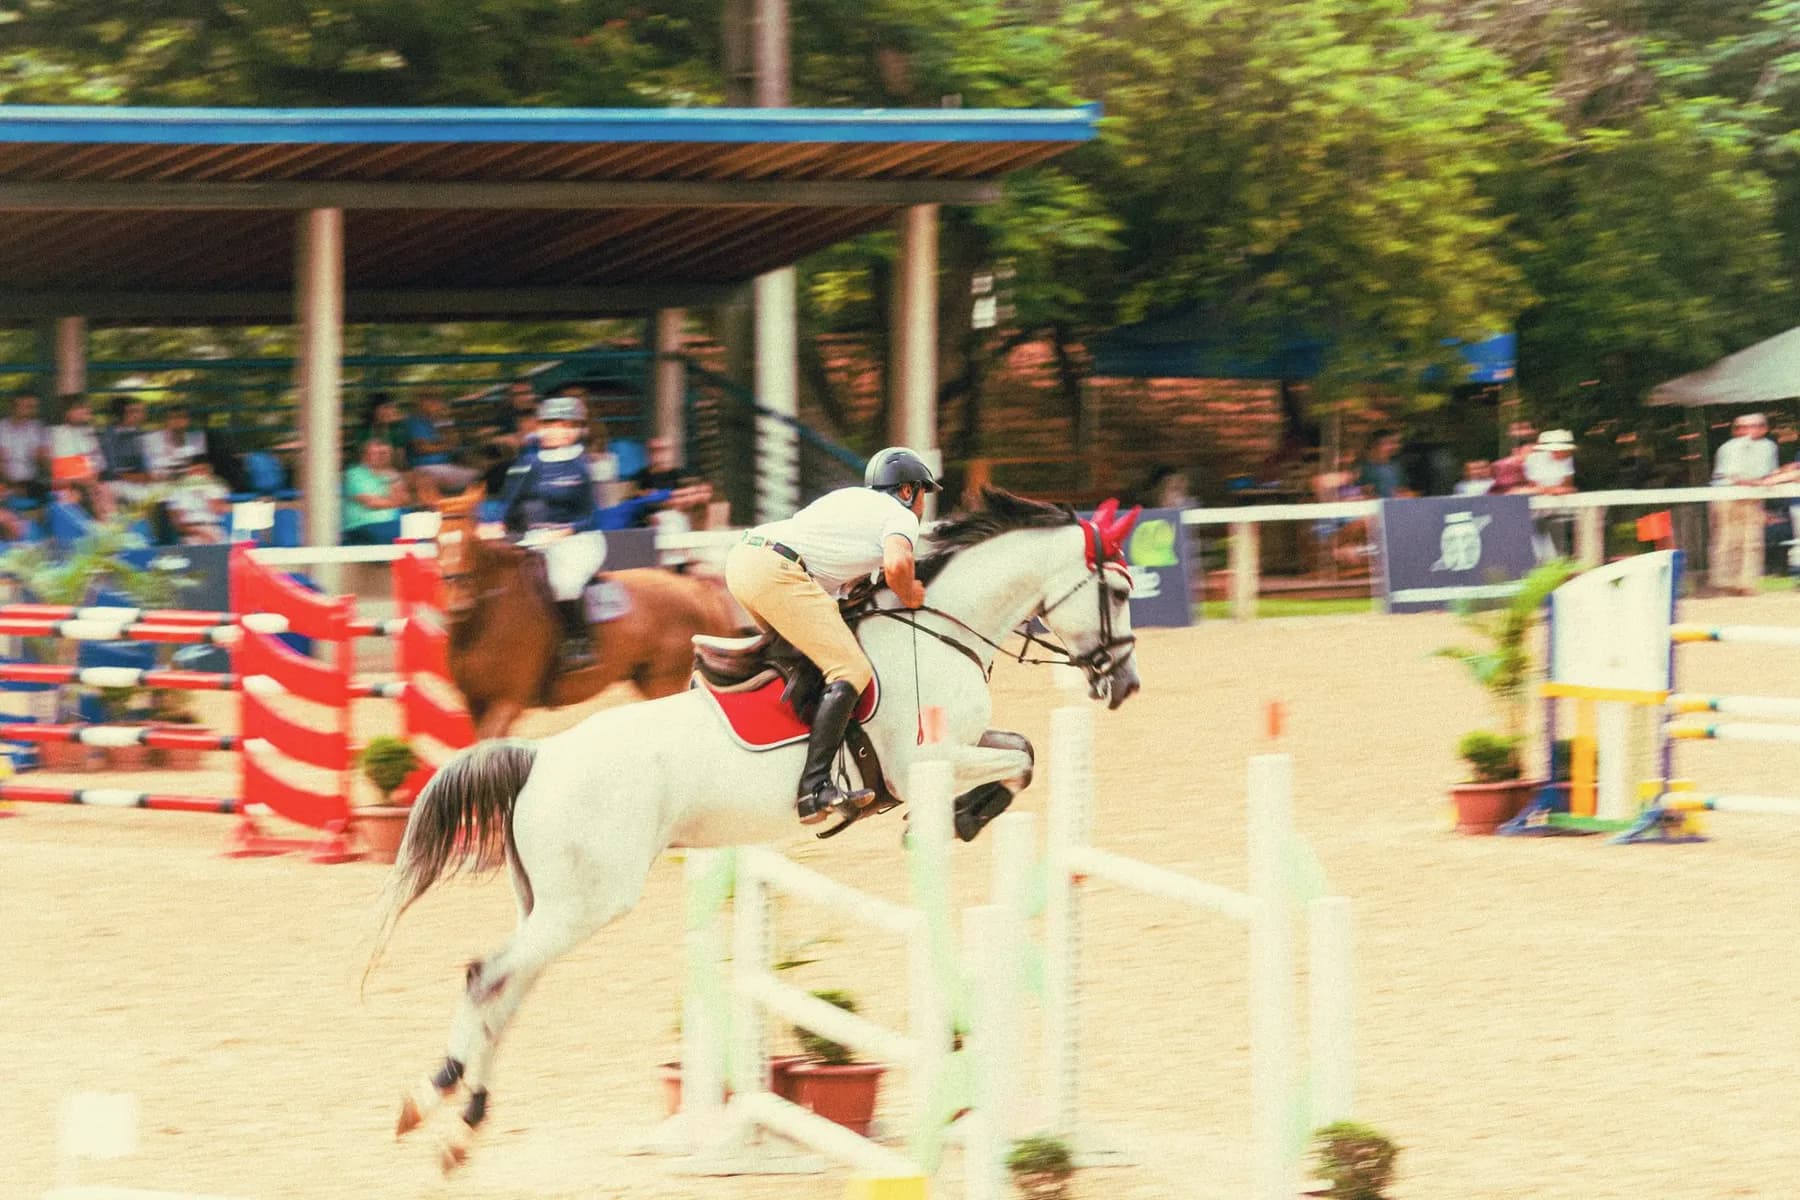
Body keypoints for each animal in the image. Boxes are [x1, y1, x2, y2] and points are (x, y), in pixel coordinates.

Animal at [424, 484, 744, 739]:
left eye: (470, 541)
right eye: (436, 540)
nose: (459, 604)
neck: (485, 617)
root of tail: (694, 589)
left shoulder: (507, 702)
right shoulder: (476, 705)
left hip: (663, 681)